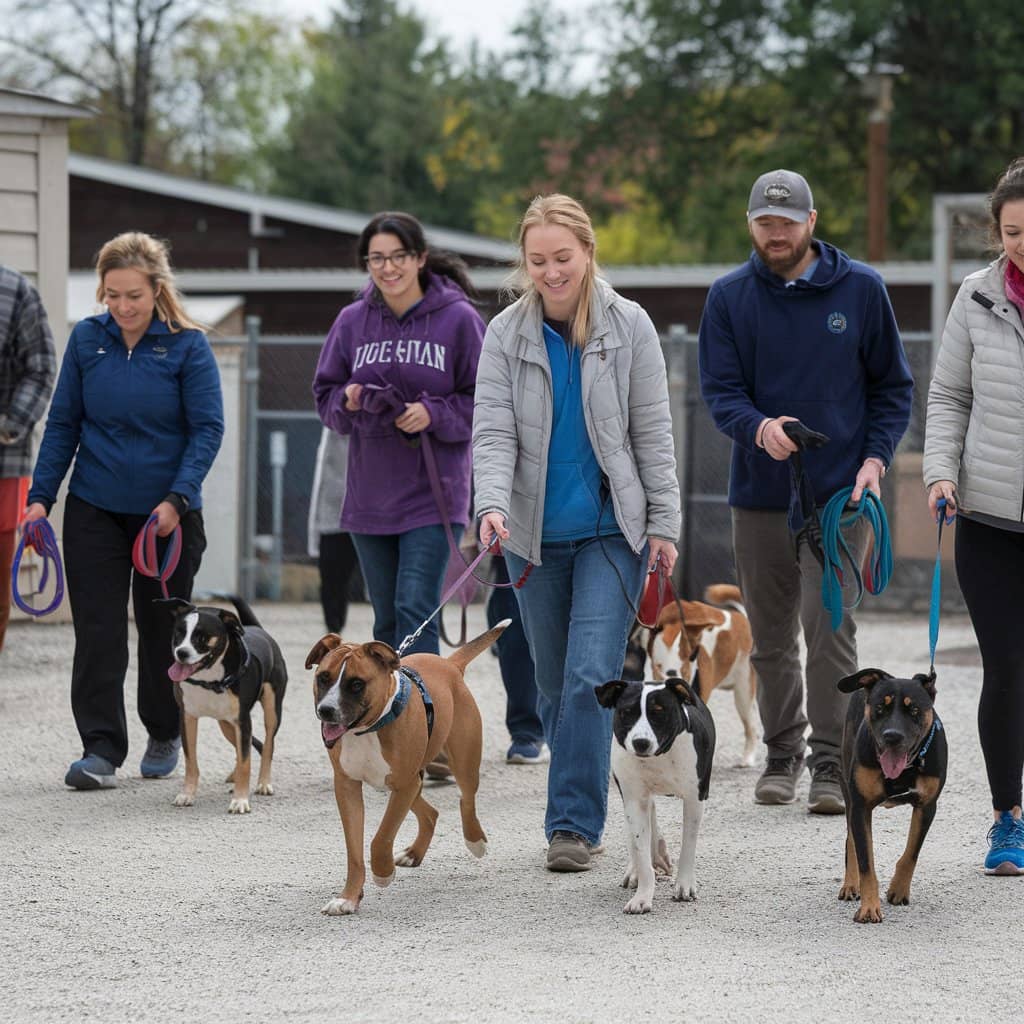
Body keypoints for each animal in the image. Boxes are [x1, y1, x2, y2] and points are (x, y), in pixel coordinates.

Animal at [162, 598, 288, 811]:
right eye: (179, 633)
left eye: (202, 637)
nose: (181, 652)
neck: (208, 680)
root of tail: (259, 629)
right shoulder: (187, 717)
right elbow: (191, 761)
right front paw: (187, 794)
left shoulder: (243, 721)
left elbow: (246, 761)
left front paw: (240, 800)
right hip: (226, 724)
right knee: (241, 747)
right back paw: (235, 776)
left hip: (271, 711)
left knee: (268, 745)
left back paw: (263, 783)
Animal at [303, 618, 512, 917]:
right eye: (323, 677)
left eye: (356, 684)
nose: (326, 710)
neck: (368, 729)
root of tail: (449, 664)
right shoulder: (348, 788)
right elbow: (354, 851)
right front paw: (349, 897)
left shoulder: (404, 785)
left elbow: (381, 837)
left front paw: (383, 873)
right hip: (407, 782)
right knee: (431, 813)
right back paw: (414, 853)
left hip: (461, 764)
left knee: (467, 799)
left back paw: (475, 841)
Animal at [598, 667, 716, 917]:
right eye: (626, 712)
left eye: (659, 712)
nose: (640, 742)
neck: (659, 756)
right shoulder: (633, 799)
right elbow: (641, 850)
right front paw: (642, 896)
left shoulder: (695, 798)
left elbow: (688, 845)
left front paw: (685, 885)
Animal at [643, 585, 757, 770]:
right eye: (657, 667)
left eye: (685, 667)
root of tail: (741, 616)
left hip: (743, 692)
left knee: (751, 728)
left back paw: (748, 758)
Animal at [835, 667, 946, 925]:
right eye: (880, 708)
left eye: (913, 709)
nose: (892, 736)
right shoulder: (861, 806)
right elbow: (866, 862)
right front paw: (869, 908)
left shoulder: (927, 806)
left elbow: (912, 852)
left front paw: (898, 890)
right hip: (848, 792)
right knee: (851, 839)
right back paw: (850, 884)